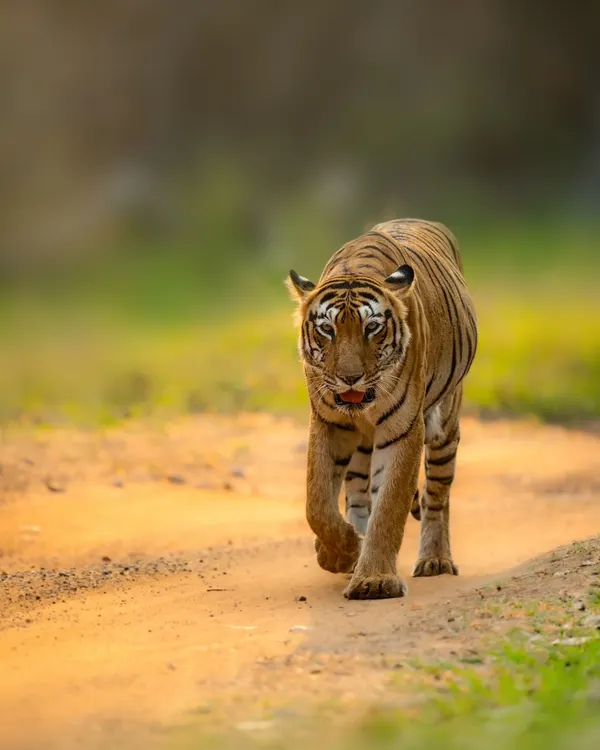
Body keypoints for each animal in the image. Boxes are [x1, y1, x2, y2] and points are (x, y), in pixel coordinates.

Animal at [286, 218, 477, 600]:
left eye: (372, 327)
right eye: (327, 329)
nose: (350, 378)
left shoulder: (404, 428)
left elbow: (389, 505)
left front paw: (374, 580)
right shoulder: (329, 422)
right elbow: (317, 503)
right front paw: (340, 552)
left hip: (444, 426)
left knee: (437, 496)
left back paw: (435, 561)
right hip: (362, 443)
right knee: (358, 492)